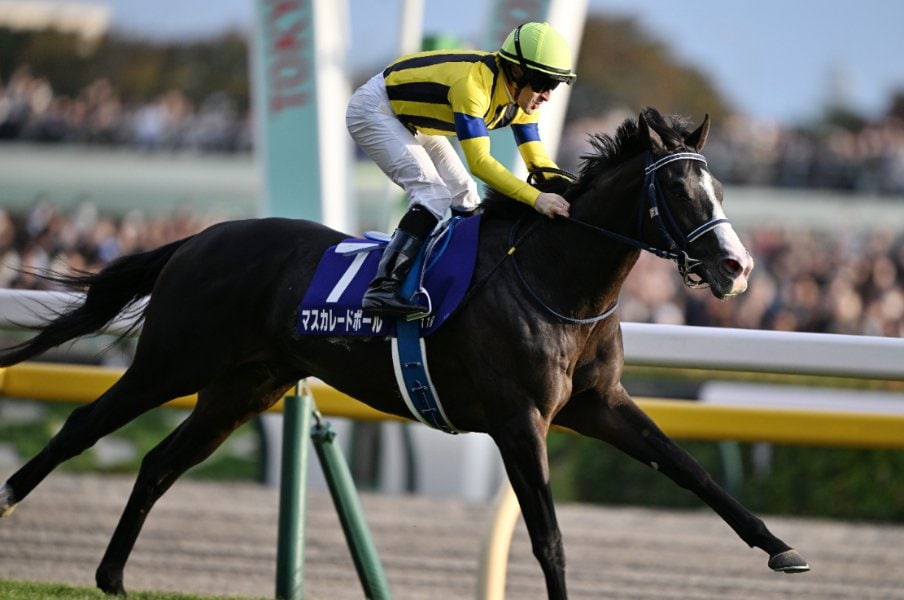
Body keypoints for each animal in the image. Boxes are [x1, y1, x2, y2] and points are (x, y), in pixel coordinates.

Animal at [0, 107, 809, 599]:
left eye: (717, 183)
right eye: (680, 189)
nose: (737, 267)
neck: (559, 282)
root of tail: (197, 239)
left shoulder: (599, 404)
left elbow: (692, 471)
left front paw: (780, 547)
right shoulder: (518, 421)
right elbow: (547, 536)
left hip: (242, 388)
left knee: (158, 463)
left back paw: (112, 577)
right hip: (174, 360)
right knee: (83, 428)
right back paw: (12, 500)